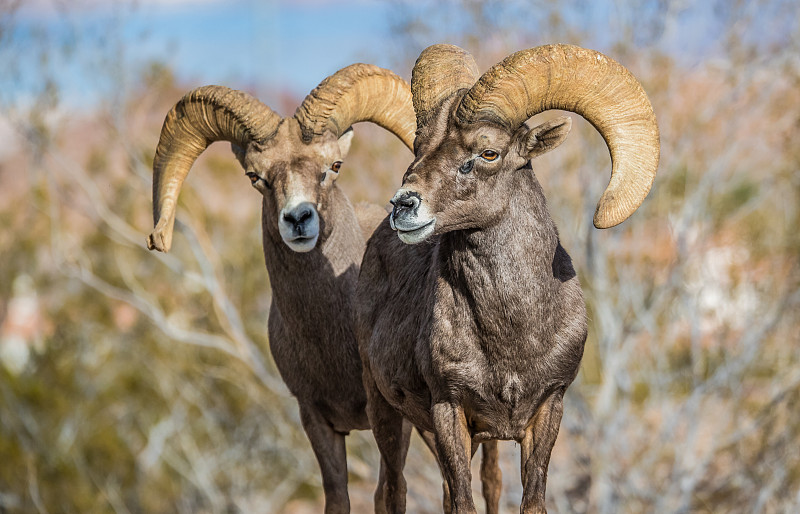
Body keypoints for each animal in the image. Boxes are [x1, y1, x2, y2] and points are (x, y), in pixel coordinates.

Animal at [141, 64, 496, 512]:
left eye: (334, 166)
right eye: (255, 177)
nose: (298, 219)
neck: (330, 333)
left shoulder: (393, 417)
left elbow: (388, 493)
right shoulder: (316, 419)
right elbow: (337, 496)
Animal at [356, 45, 656, 512]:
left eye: (489, 153)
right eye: (421, 147)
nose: (403, 205)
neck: (512, 336)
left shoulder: (547, 408)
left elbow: (529, 498)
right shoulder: (448, 410)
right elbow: (463, 502)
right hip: (385, 412)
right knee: (392, 491)